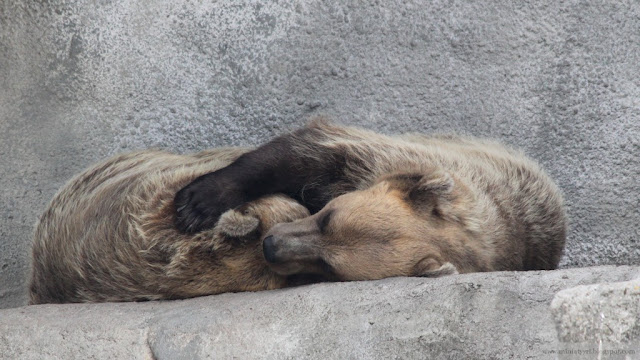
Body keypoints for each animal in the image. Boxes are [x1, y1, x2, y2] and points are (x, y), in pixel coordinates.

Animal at [174, 119, 564, 280]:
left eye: (329, 265)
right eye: (327, 217)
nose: (271, 246)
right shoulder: (376, 159)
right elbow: (296, 153)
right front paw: (195, 203)